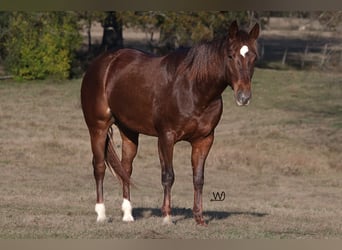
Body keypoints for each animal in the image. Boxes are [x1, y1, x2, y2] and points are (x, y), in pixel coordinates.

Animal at [81, 20, 260, 226]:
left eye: (253, 57)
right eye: (231, 56)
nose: (243, 97)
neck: (193, 89)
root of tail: (102, 63)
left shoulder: (204, 140)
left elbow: (198, 178)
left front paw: (199, 218)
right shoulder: (166, 137)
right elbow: (168, 175)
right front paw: (167, 216)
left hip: (129, 131)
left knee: (125, 169)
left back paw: (127, 215)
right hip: (98, 128)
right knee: (99, 167)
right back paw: (101, 214)